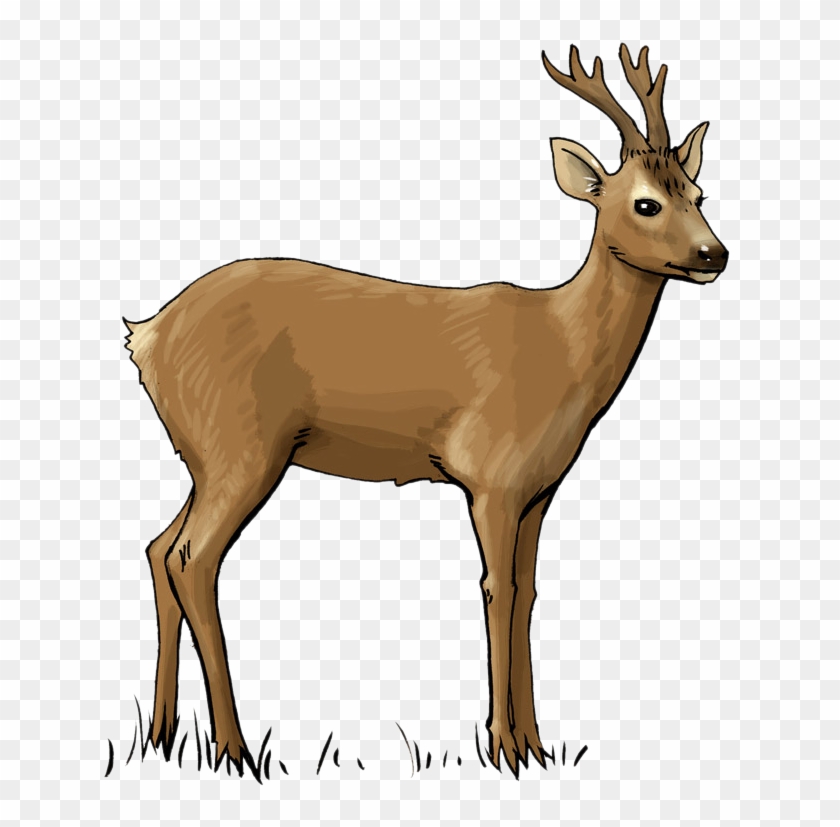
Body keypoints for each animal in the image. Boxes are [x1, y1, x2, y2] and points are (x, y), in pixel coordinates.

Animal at [124, 44, 728, 778]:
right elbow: (497, 589)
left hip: (204, 455)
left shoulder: (539, 489)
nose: (714, 253)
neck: (564, 354)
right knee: (193, 558)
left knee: (159, 547)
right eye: (644, 202)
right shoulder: (490, 476)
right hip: (241, 445)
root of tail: (146, 336)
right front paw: (503, 749)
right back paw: (237, 749)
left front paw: (538, 745)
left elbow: (528, 592)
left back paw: (162, 733)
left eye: (698, 194)